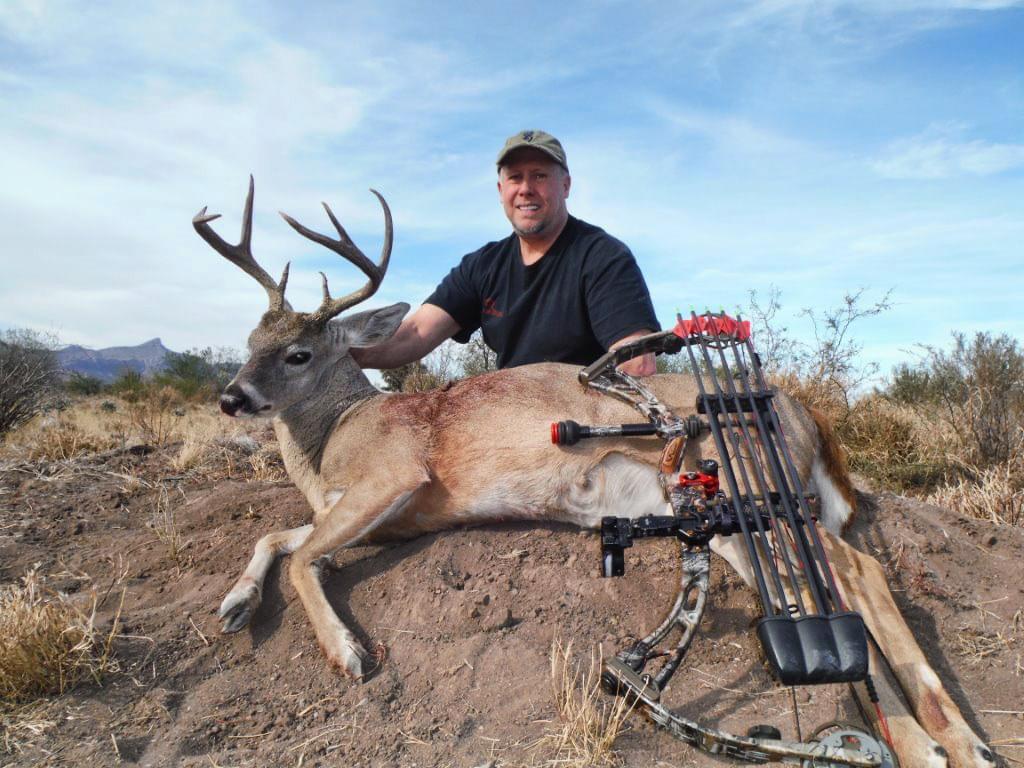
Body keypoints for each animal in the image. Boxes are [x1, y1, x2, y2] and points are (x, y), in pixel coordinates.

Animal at [193, 178, 995, 768]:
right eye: (249, 339)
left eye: (298, 353)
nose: (232, 397)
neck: (333, 437)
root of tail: (806, 415)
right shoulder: (378, 513)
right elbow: (280, 538)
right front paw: (233, 606)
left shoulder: (400, 478)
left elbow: (303, 556)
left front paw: (348, 653)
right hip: (730, 526)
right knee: (829, 592)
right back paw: (918, 740)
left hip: (757, 499)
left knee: (859, 570)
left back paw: (955, 743)